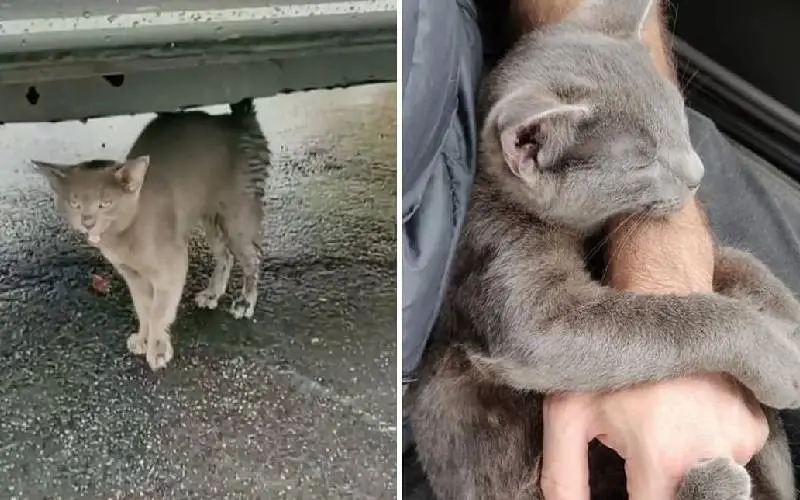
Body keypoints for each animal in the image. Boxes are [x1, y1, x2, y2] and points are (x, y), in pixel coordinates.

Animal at [410, 0, 800, 500]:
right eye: (643, 160)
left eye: (679, 117)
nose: (697, 173)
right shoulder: (511, 277)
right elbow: (686, 318)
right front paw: (779, 362)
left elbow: (731, 259)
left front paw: (783, 309)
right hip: (447, 390)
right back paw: (713, 481)